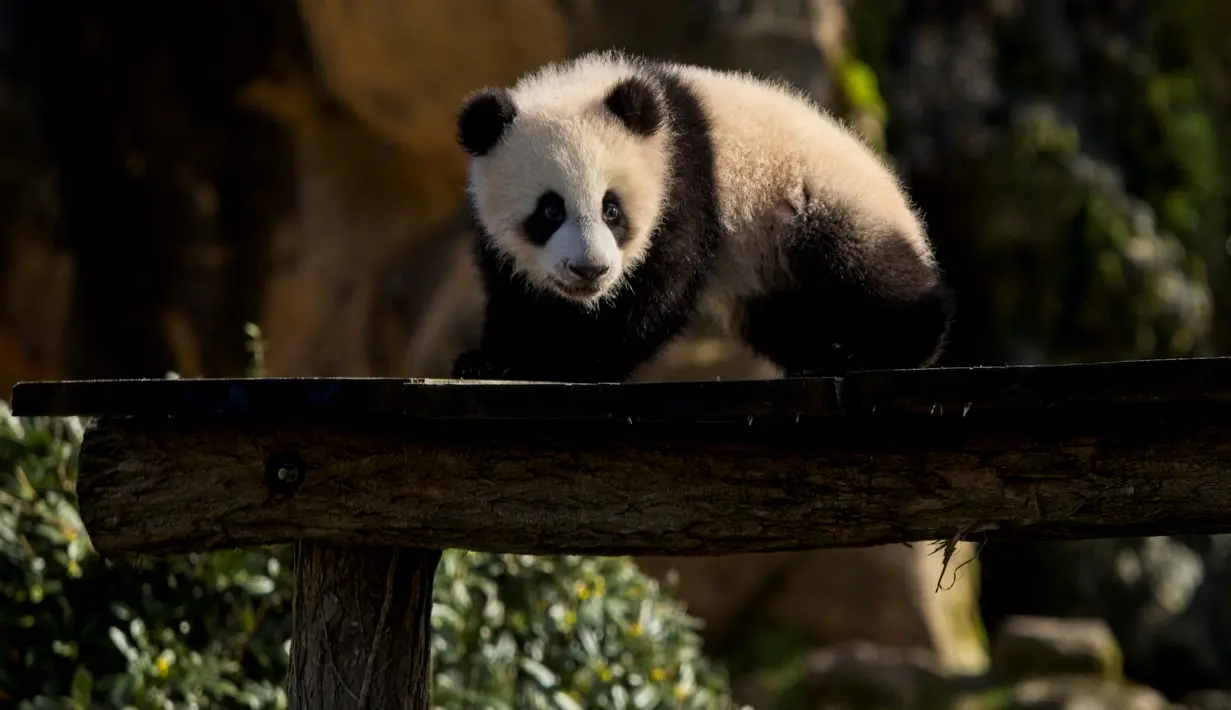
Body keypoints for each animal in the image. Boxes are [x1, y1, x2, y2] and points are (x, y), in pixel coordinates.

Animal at [450, 49, 954, 384]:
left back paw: (897, 343)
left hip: (816, 200)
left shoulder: (683, 175)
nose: (589, 270)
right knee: (784, 314)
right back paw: (819, 354)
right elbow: (513, 290)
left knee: (863, 267)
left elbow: (662, 286)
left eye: (612, 209)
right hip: (767, 273)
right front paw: (491, 359)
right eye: (550, 211)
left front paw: (574, 360)